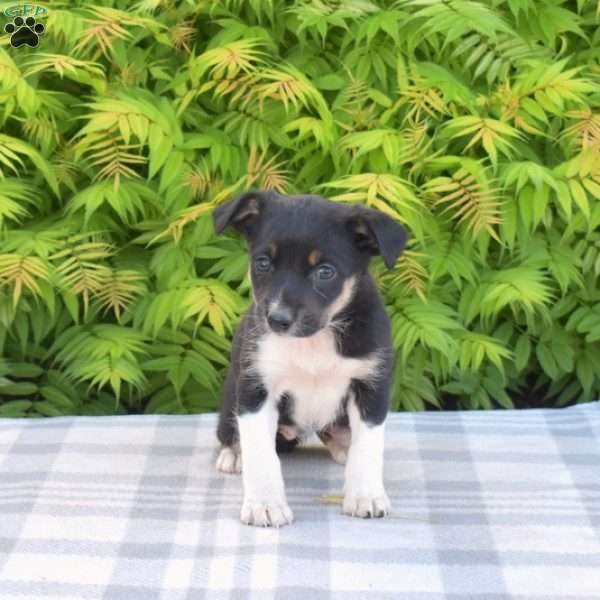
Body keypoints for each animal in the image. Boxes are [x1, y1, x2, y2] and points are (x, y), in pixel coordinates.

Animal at [211, 190, 408, 528]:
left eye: (325, 271)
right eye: (263, 262)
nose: (277, 320)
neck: (313, 343)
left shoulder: (371, 386)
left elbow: (368, 448)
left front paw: (365, 496)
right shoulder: (256, 390)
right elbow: (261, 453)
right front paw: (265, 504)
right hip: (230, 405)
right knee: (232, 436)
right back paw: (233, 455)